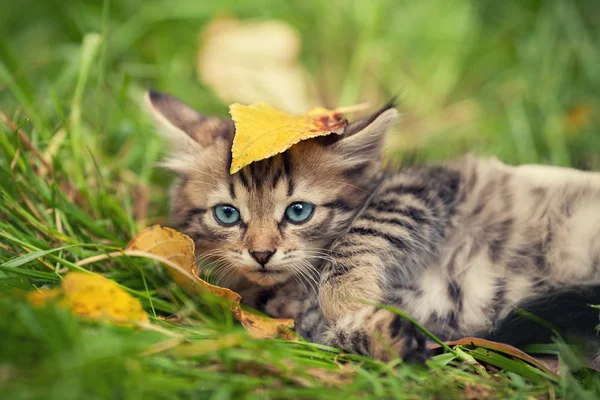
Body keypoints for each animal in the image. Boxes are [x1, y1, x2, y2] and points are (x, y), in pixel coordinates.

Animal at [145, 91, 600, 362]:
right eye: (227, 214)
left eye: (298, 212)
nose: (261, 253)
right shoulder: (306, 327)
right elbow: (341, 336)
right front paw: (381, 331)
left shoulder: (424, 184)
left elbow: (362, 230)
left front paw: (348, 296)